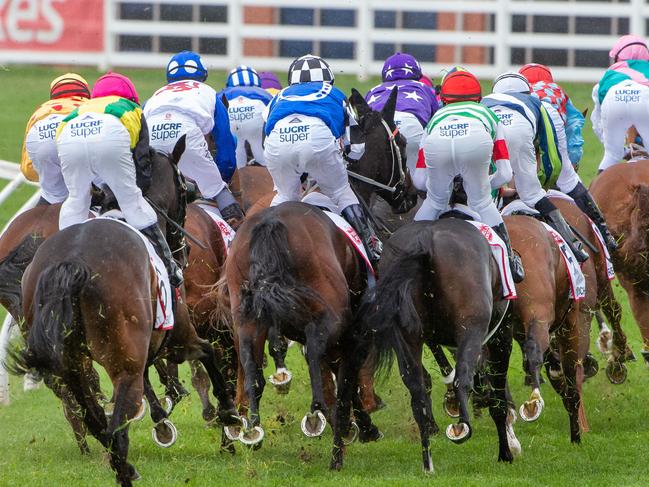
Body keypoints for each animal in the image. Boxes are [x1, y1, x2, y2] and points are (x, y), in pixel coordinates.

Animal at [352, 219, 520, 474]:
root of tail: (425, 240)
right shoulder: (501, 336)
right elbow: (497, 397)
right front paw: (506, 452)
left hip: (407, 338)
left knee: (418, 393)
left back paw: (428, 463)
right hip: (471, 328)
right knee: (462, 378)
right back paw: (461, 428)